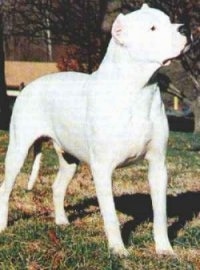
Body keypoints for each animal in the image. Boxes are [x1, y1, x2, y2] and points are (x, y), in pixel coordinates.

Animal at [0, 4, 189, 258]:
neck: (138, 90)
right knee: (5, 188)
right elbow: (110, 216)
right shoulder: (102, 169)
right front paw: (118, 250)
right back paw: (3, 226)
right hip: (18, 151)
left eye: (169, 21)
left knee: (57, 187)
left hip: (69, 159)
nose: (185, 28)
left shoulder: (158, 165)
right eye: (152, 28)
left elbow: (160, 213)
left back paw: (61, 222)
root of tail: (28, 86)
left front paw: (164, 249)